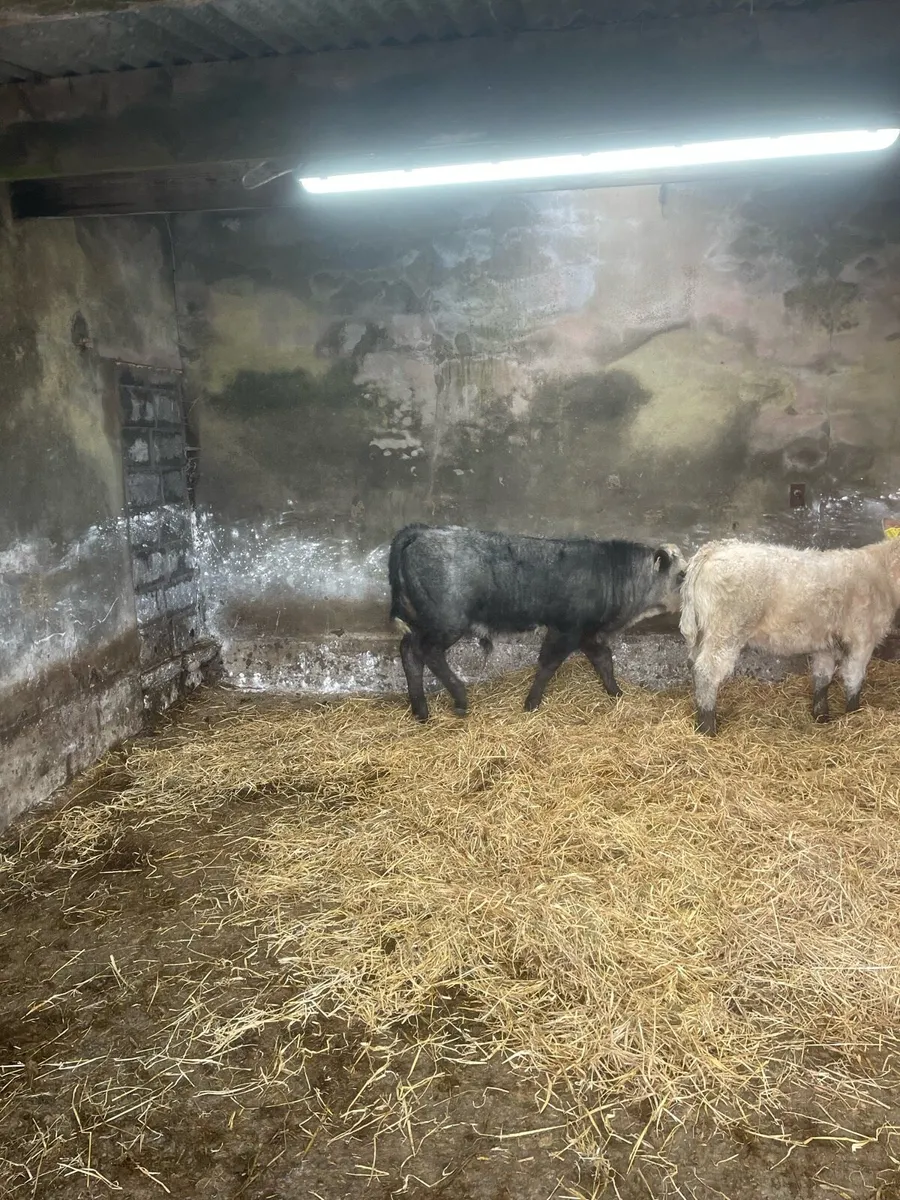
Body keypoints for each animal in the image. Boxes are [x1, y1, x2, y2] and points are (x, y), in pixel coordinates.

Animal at [389, 523, 687, 721]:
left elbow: (605, 662)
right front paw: (531, 703)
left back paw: (421, 710)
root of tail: (421, 531)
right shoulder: (566, 630)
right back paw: (460, 699)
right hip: (447, 623)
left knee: (409, 651)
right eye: (682, 575)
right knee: (428, 653)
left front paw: (616, 694)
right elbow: (548, 665)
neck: (611, 574)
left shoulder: (588, 634)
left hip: (422, 621)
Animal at [679, 536, 900, 736]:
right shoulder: (862, 638)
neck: (883, 572)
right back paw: (707, 728)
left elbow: (822, 677)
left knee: (694, 665)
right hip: (726, 631)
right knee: (706, 672)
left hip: (702, 633)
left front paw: (821, 716)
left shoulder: (825, 642)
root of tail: (714, 548)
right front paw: (854, 715)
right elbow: (854, 678)